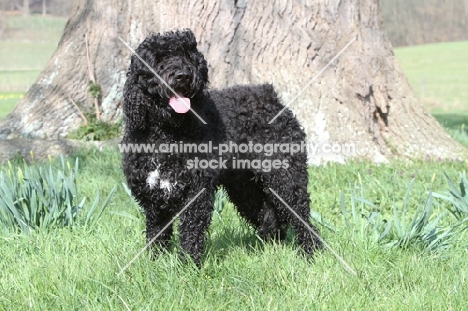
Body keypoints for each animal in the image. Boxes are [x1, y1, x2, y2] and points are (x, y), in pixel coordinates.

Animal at [120, 29, 322, 266]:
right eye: (159, 58)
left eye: (188, 55)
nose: (183, 76)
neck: (167, 134)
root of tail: (271, 96)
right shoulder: (153, 198)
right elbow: (157, 234)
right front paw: (154, 262)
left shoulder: (196, 193)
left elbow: (191, 232)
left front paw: (188, 266)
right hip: (244, 187)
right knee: (268, 215)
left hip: (285, 177)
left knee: (301, 216)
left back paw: (311, 253)